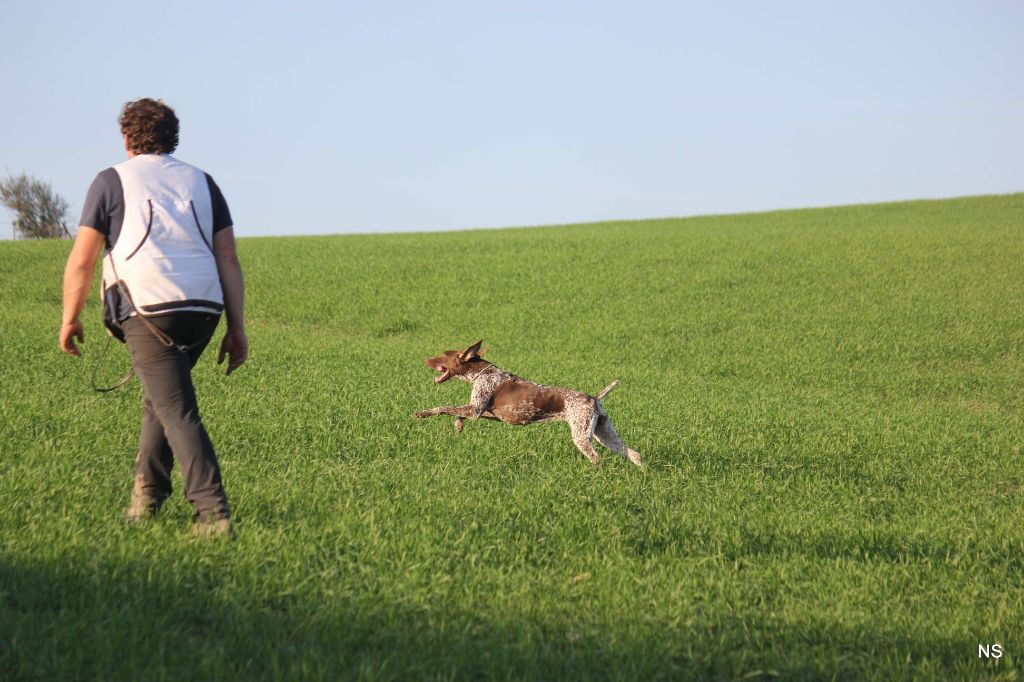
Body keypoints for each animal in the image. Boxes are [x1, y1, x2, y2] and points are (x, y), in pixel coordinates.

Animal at [413, 337, 638, 464]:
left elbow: (443, 407)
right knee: (634, 455)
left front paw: (423, 413)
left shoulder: (476, 409)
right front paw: (458, 425)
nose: (425, 359)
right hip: (605, 434)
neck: (480, 373)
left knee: (598, 460)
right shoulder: (484, 411)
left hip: (582, 436)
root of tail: (594, 398)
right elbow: (458, 413)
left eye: (443, 355)